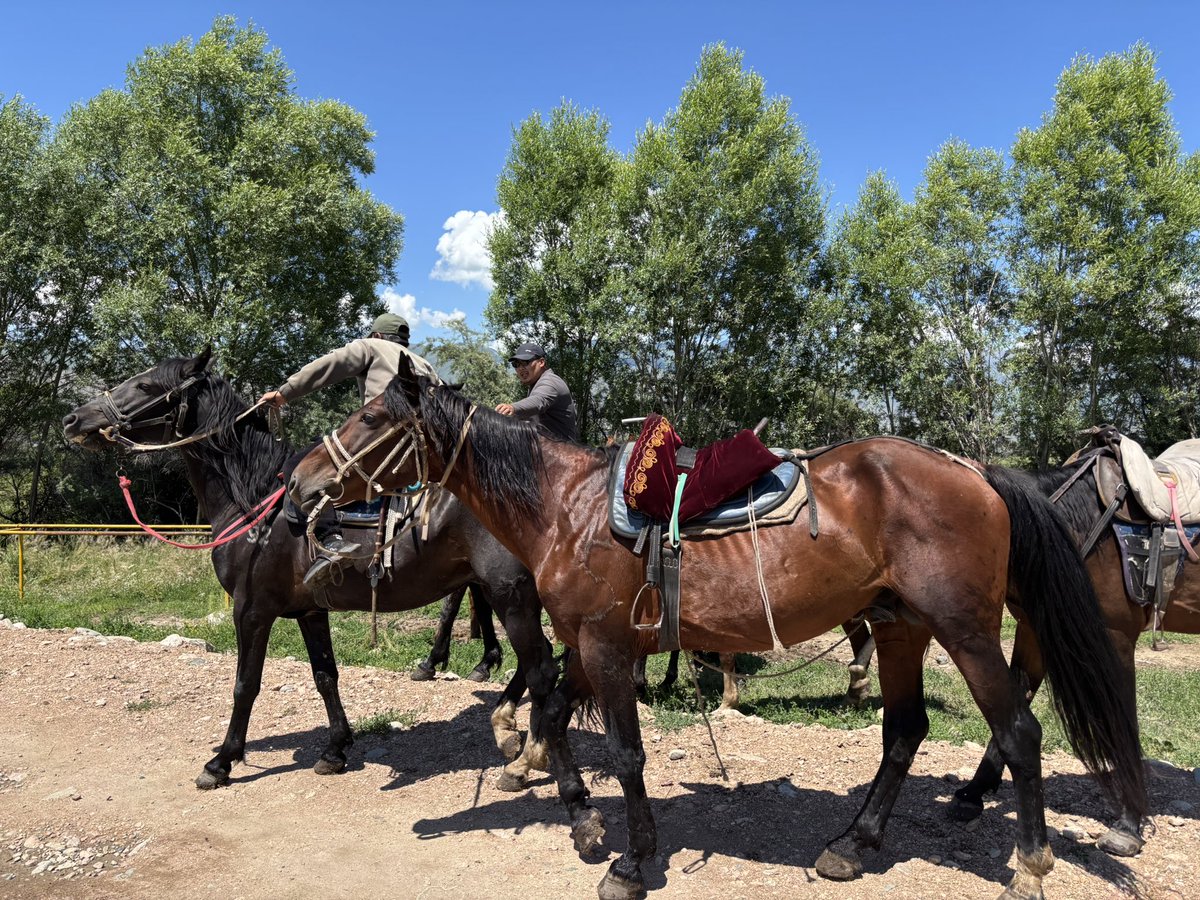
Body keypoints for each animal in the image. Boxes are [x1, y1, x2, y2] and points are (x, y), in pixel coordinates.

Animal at [60, 350, 557, 792]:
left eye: (145, 385)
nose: (74, 419)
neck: (255, 501)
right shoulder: (310, 611)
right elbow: (325, 676)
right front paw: (335, 749)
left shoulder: (252, 610)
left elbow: (245, 684)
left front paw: (222, 761)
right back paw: (509, 729)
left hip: (510, 593)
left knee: (542, 664)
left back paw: (520, 754)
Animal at [289, 360, 1146, 900]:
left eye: (371, 417)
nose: (299, 484)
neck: (564, 507)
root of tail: (977, 471)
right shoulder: (589, 644)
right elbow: (554, 714)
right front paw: (581, 820)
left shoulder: (605, 646)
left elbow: (625, 753)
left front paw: (630, 864)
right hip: (900, 627)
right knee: (904, 730)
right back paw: (852, 845)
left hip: (965, 633)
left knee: (1020, 731)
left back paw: (1029, 866)